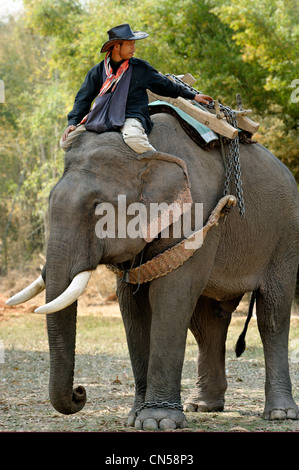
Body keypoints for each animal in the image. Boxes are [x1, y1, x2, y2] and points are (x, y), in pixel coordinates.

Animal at [7, 113, 299, 430]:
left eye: (97, 208)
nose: (80, 392)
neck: (147, 154)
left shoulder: (195, 215)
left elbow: (171, 296)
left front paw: (158, 421)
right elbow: (132, 304)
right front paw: (136, 417)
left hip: (285, 238)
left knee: (272, 315)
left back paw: (280, 414)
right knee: (208, 323)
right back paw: (202, 406)